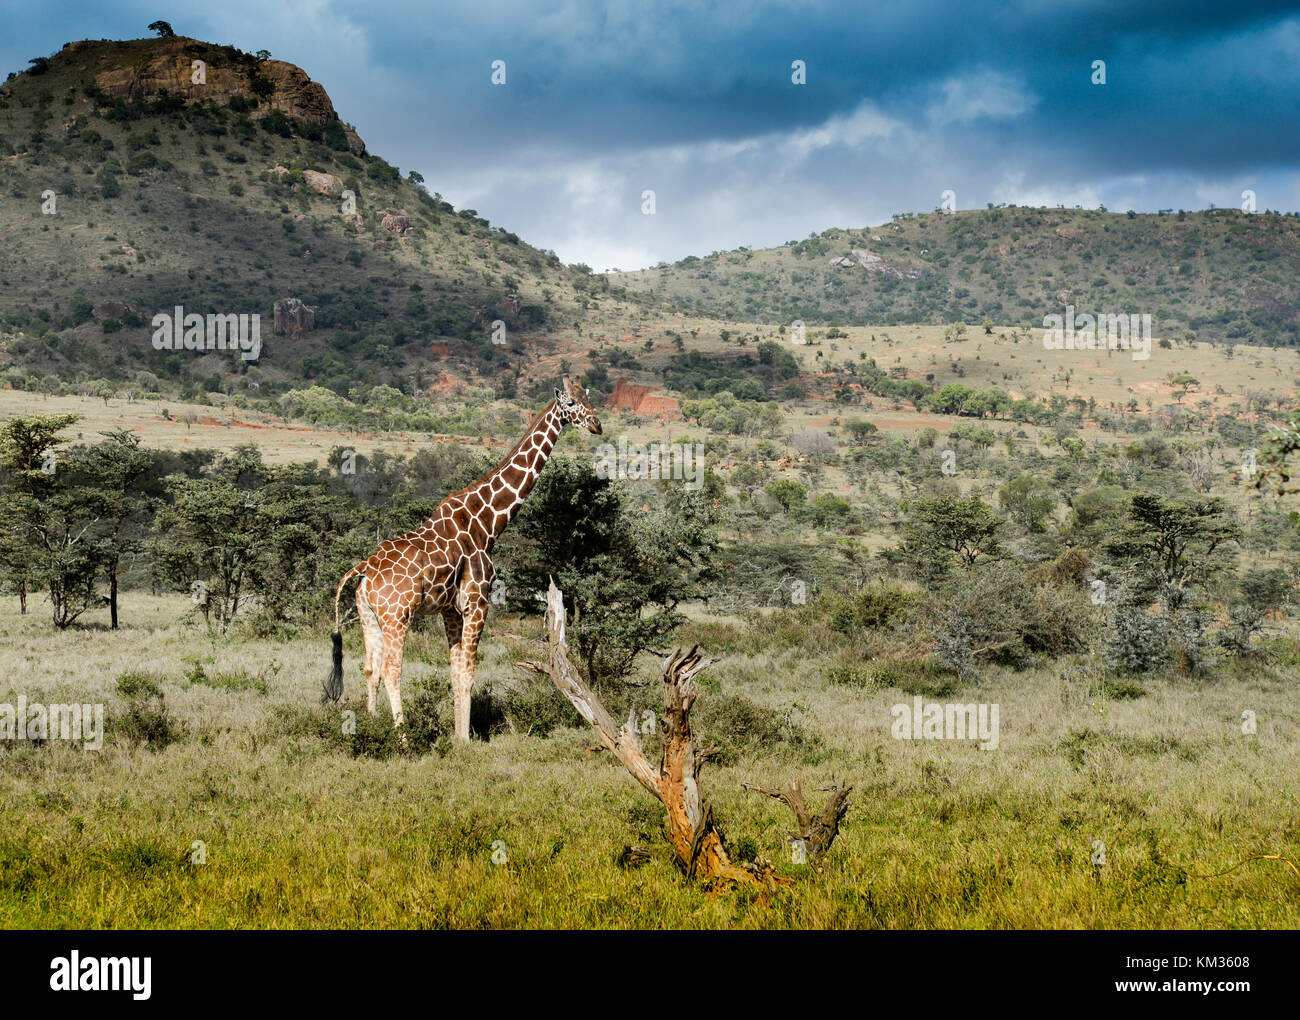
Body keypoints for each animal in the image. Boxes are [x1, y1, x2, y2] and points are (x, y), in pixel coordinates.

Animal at [327, 376, 603, 741]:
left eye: (588, 397)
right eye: (570, 403)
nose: (597, 424)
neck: (487, 523)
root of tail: (363, 569)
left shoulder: (451, 610)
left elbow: (456, 673)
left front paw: (459, 737)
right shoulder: (477, 603)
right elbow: (469, 674)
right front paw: (467, 740)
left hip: (367, 615)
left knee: (371, 668)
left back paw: (372, 728)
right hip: (397, 615)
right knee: (391, 669)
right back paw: (402, 738)